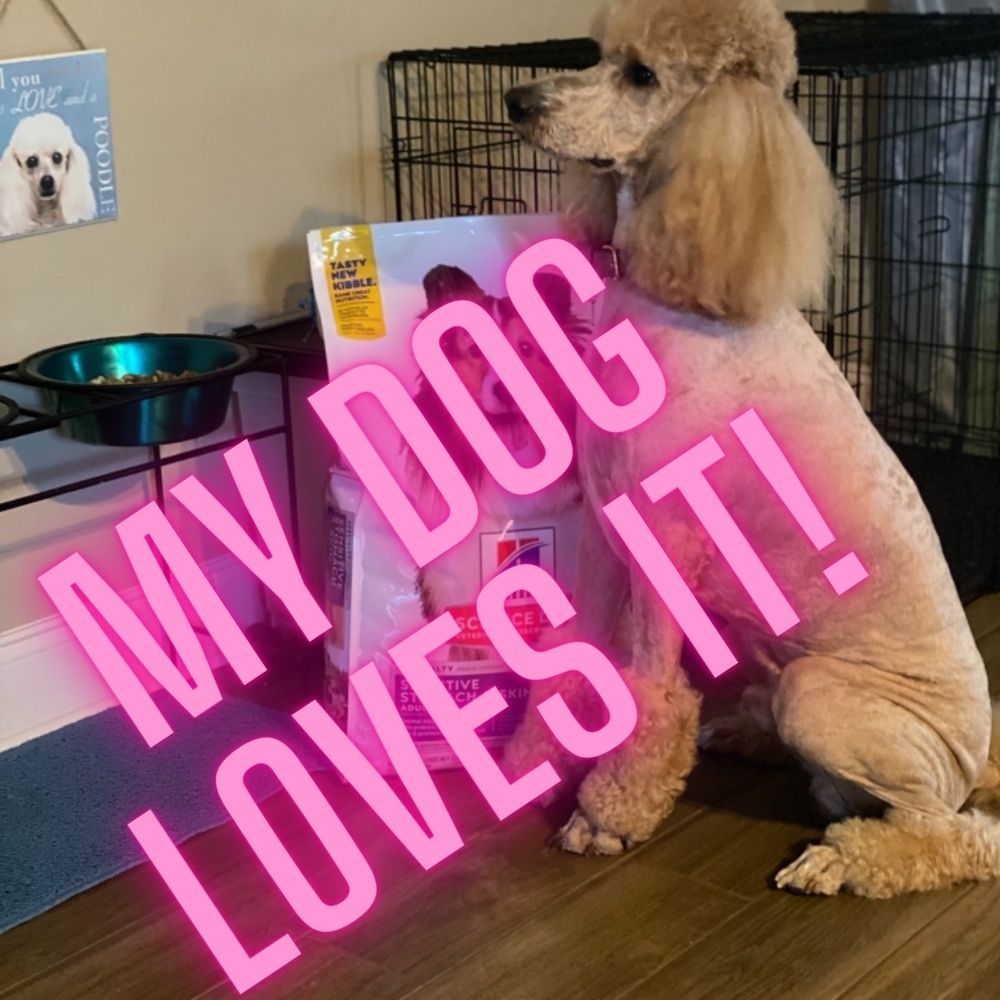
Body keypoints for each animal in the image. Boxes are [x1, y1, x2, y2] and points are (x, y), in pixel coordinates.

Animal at [501, 0, 1000, 897]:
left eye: (643, 76)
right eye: (597, 51)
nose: (518, 101)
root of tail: (977, 756)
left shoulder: (664, 539)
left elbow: (649, 690)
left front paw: (606, 816)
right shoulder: (604, 526)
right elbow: (572, 656)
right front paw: (532, 762)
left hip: (827, 698)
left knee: (946, 834)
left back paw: (840, 859)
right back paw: (743, 733)